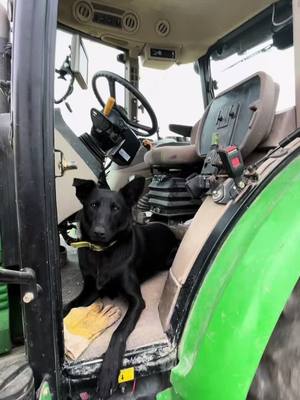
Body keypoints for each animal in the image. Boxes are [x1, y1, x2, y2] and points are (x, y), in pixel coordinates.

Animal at [63, 177, 178, 398]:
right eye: (93, 205)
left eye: (116, 208)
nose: (99, 232)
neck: (103, 253)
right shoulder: (90, 291)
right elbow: (67, 307)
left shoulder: (137, 301)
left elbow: (119, 333)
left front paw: (108, 371)